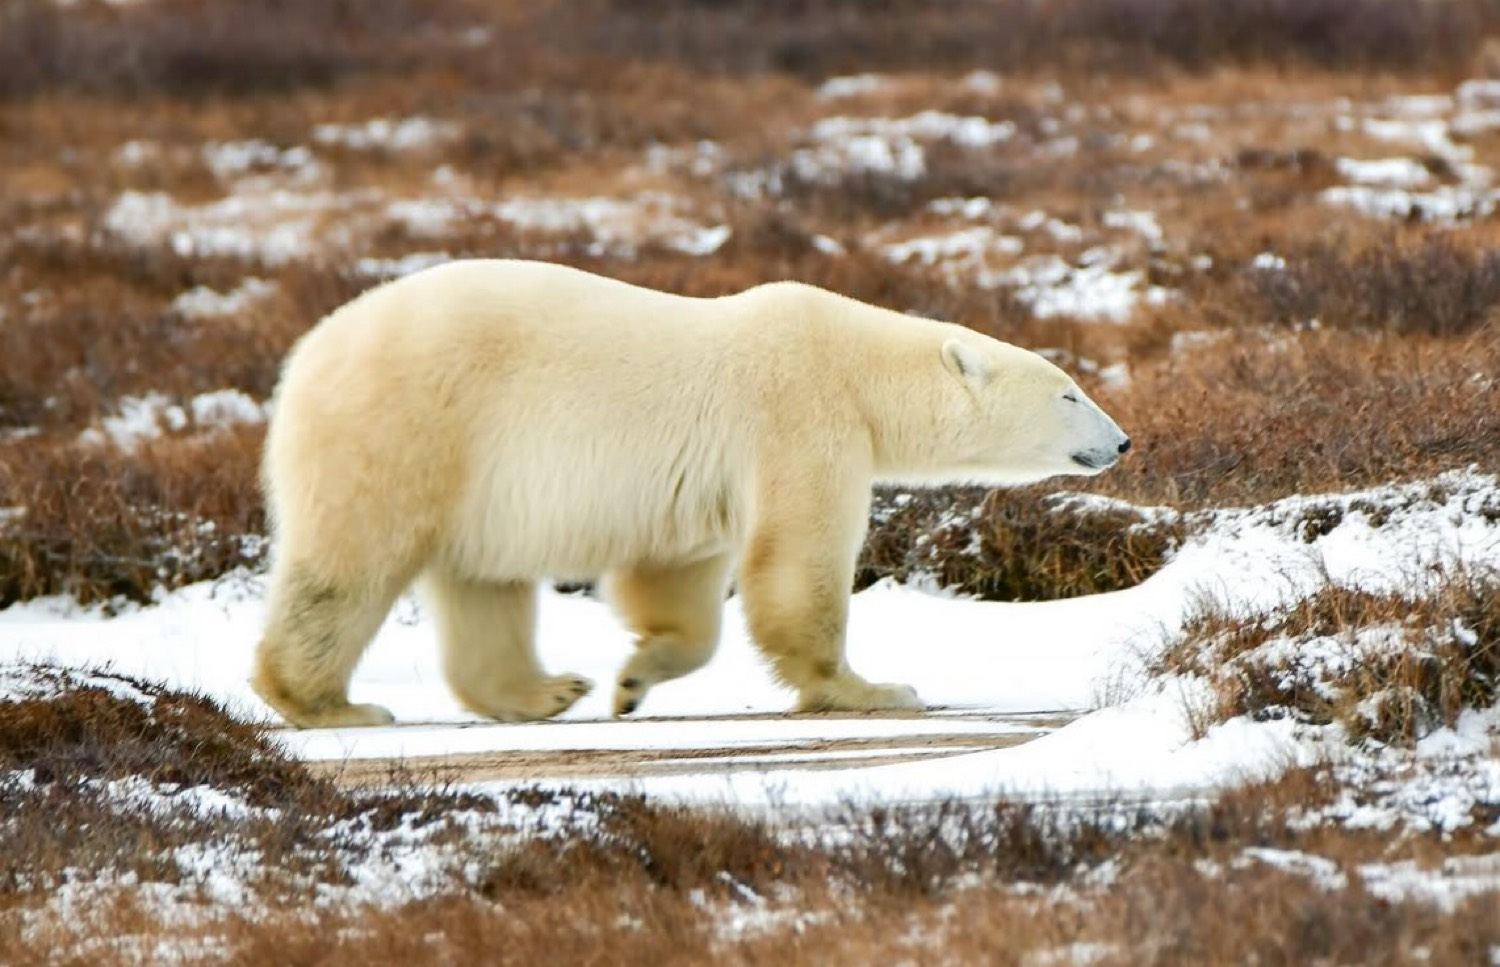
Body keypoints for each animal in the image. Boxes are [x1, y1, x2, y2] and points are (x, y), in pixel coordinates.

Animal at [250, 259, 1130, 728]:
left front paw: (634, 678)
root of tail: (303, 360)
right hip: (406, 429)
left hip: (472, 478)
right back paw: (331, 703)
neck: (856, 365)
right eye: (1069, 392)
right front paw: (875, 688)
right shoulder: (800, 418)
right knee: (348, 566)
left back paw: (546, 690)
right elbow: (800, 563)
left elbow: (677, 579)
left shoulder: (703, 482)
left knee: (483, 586)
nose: (1122, 440)